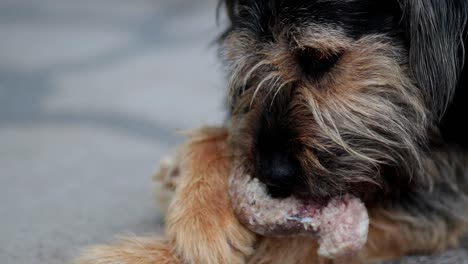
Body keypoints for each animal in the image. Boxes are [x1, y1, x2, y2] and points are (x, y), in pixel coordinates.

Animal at [77, 0, 468, 264]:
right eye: (252, 58)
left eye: (319, 58)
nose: (271, 175)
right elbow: (223, 132)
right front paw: (199, 212)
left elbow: (282, 245)